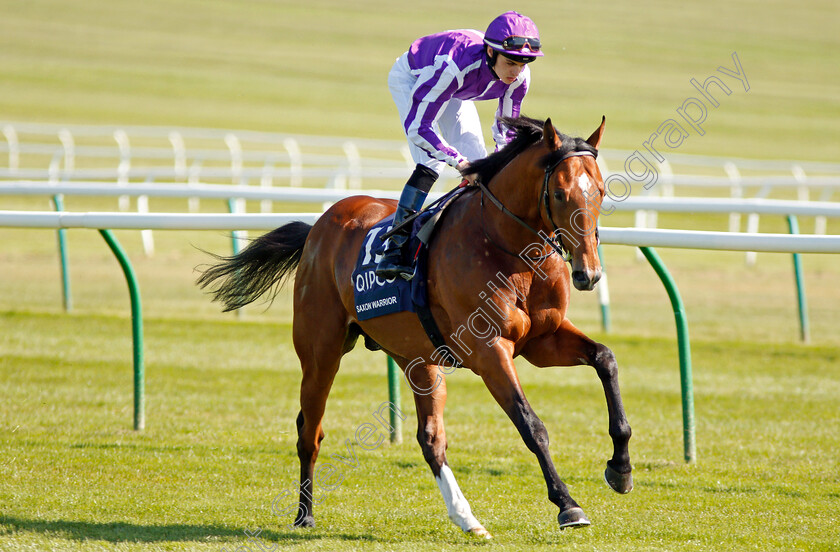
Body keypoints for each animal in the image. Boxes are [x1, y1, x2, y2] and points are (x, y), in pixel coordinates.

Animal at [197, 114, 632, 536]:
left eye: (601, 192)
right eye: (559, 194)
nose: (588, 273)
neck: (509, 249)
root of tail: (317, 228)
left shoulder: (542, 340)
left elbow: (606, 359)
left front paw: (621, 468)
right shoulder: (490, 350)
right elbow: (531, 424)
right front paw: (567, 504)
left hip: (419, 360)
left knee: (431, 439)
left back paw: (467, 518)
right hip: (321, 351)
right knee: (310, 431)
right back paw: (304, 515)